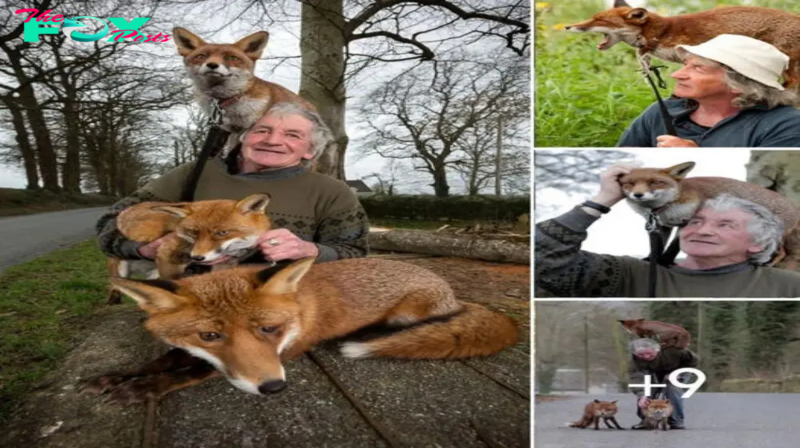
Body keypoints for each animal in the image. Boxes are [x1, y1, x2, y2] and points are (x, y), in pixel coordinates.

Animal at [84, 256, 520, 402]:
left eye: (270, 329)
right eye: (209, 335)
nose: (274, 388)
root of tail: (452, 291)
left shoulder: (286, 353)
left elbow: (191, 371)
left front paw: (142, 388)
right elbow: (167, 358)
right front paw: (122, 375)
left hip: (410, 315)